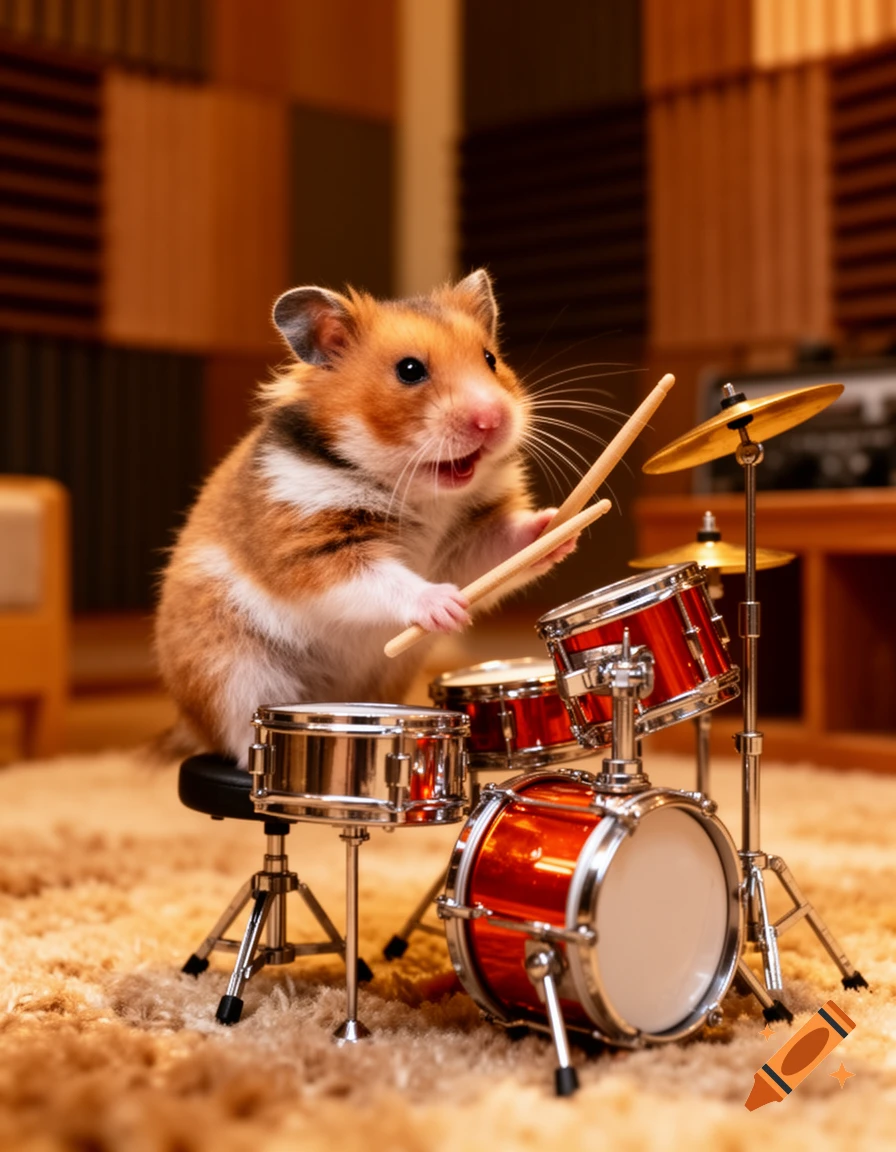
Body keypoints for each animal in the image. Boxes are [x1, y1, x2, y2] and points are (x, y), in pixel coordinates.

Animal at [154, 270, 578, 765]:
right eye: (409, 370)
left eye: (490, 359)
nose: (492, 420)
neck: (419, 489)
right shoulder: (316, 549)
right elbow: (380, 578)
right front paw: (447, 607)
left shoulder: (470, 541)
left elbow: (505, 547)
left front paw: (555, 526)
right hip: (231, 673)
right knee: (242, 742)